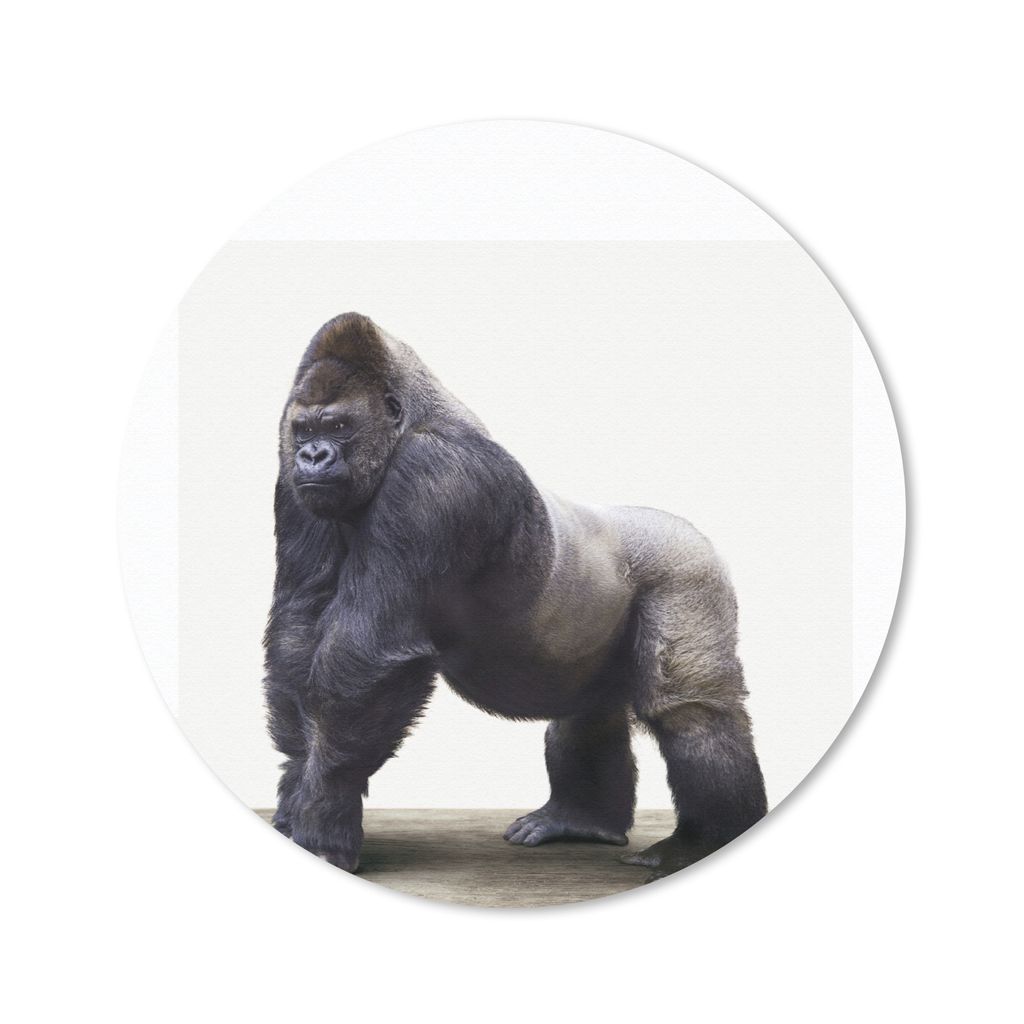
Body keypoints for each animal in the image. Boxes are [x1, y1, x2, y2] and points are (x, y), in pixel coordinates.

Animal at [263, 313, 767, 883]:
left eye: (339, 427)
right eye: (305, 430)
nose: (312, 455)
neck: (410, 420)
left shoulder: (436, 476)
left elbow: (368, 655)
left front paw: (326, 812)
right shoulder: (292, 487)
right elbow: (298, 632)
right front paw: (296, 790)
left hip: (688, 568)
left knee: (690, 710)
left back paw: (705, 840)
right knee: (588, 712)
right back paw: (583, 820)